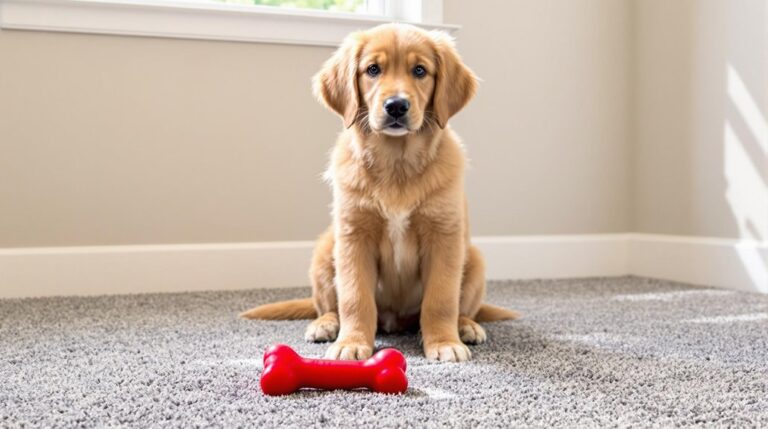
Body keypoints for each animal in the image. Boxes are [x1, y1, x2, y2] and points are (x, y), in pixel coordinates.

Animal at [243, 23, 520, 362]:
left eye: (420, 70)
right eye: (373, 69)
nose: (396, 106)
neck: (396, 163)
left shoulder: (444, 234)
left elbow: (441, 299)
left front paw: (444, 342)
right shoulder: (354, 235)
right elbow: (354, 297)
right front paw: (351, 343)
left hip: (475, 259)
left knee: (465, 308)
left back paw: (466, 326)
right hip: (325, 250)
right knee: (328, 306)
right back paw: (324, 325)